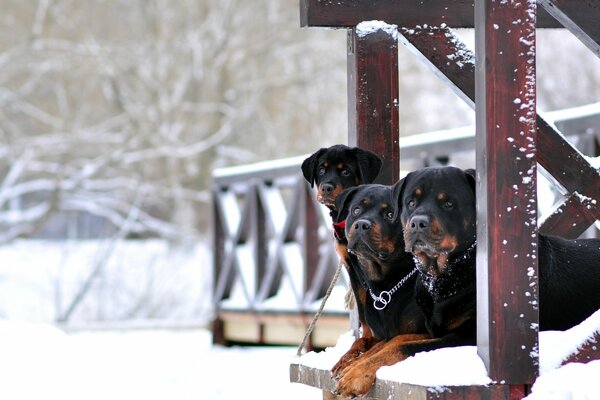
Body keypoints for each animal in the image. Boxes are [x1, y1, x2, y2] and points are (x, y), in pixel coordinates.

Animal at [330, 184, 428, 396]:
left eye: (390, 214)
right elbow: (369, 343)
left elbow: (393, 345)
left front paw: (355, 374)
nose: (361, 224)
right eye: (356, 210)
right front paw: (347, 360)